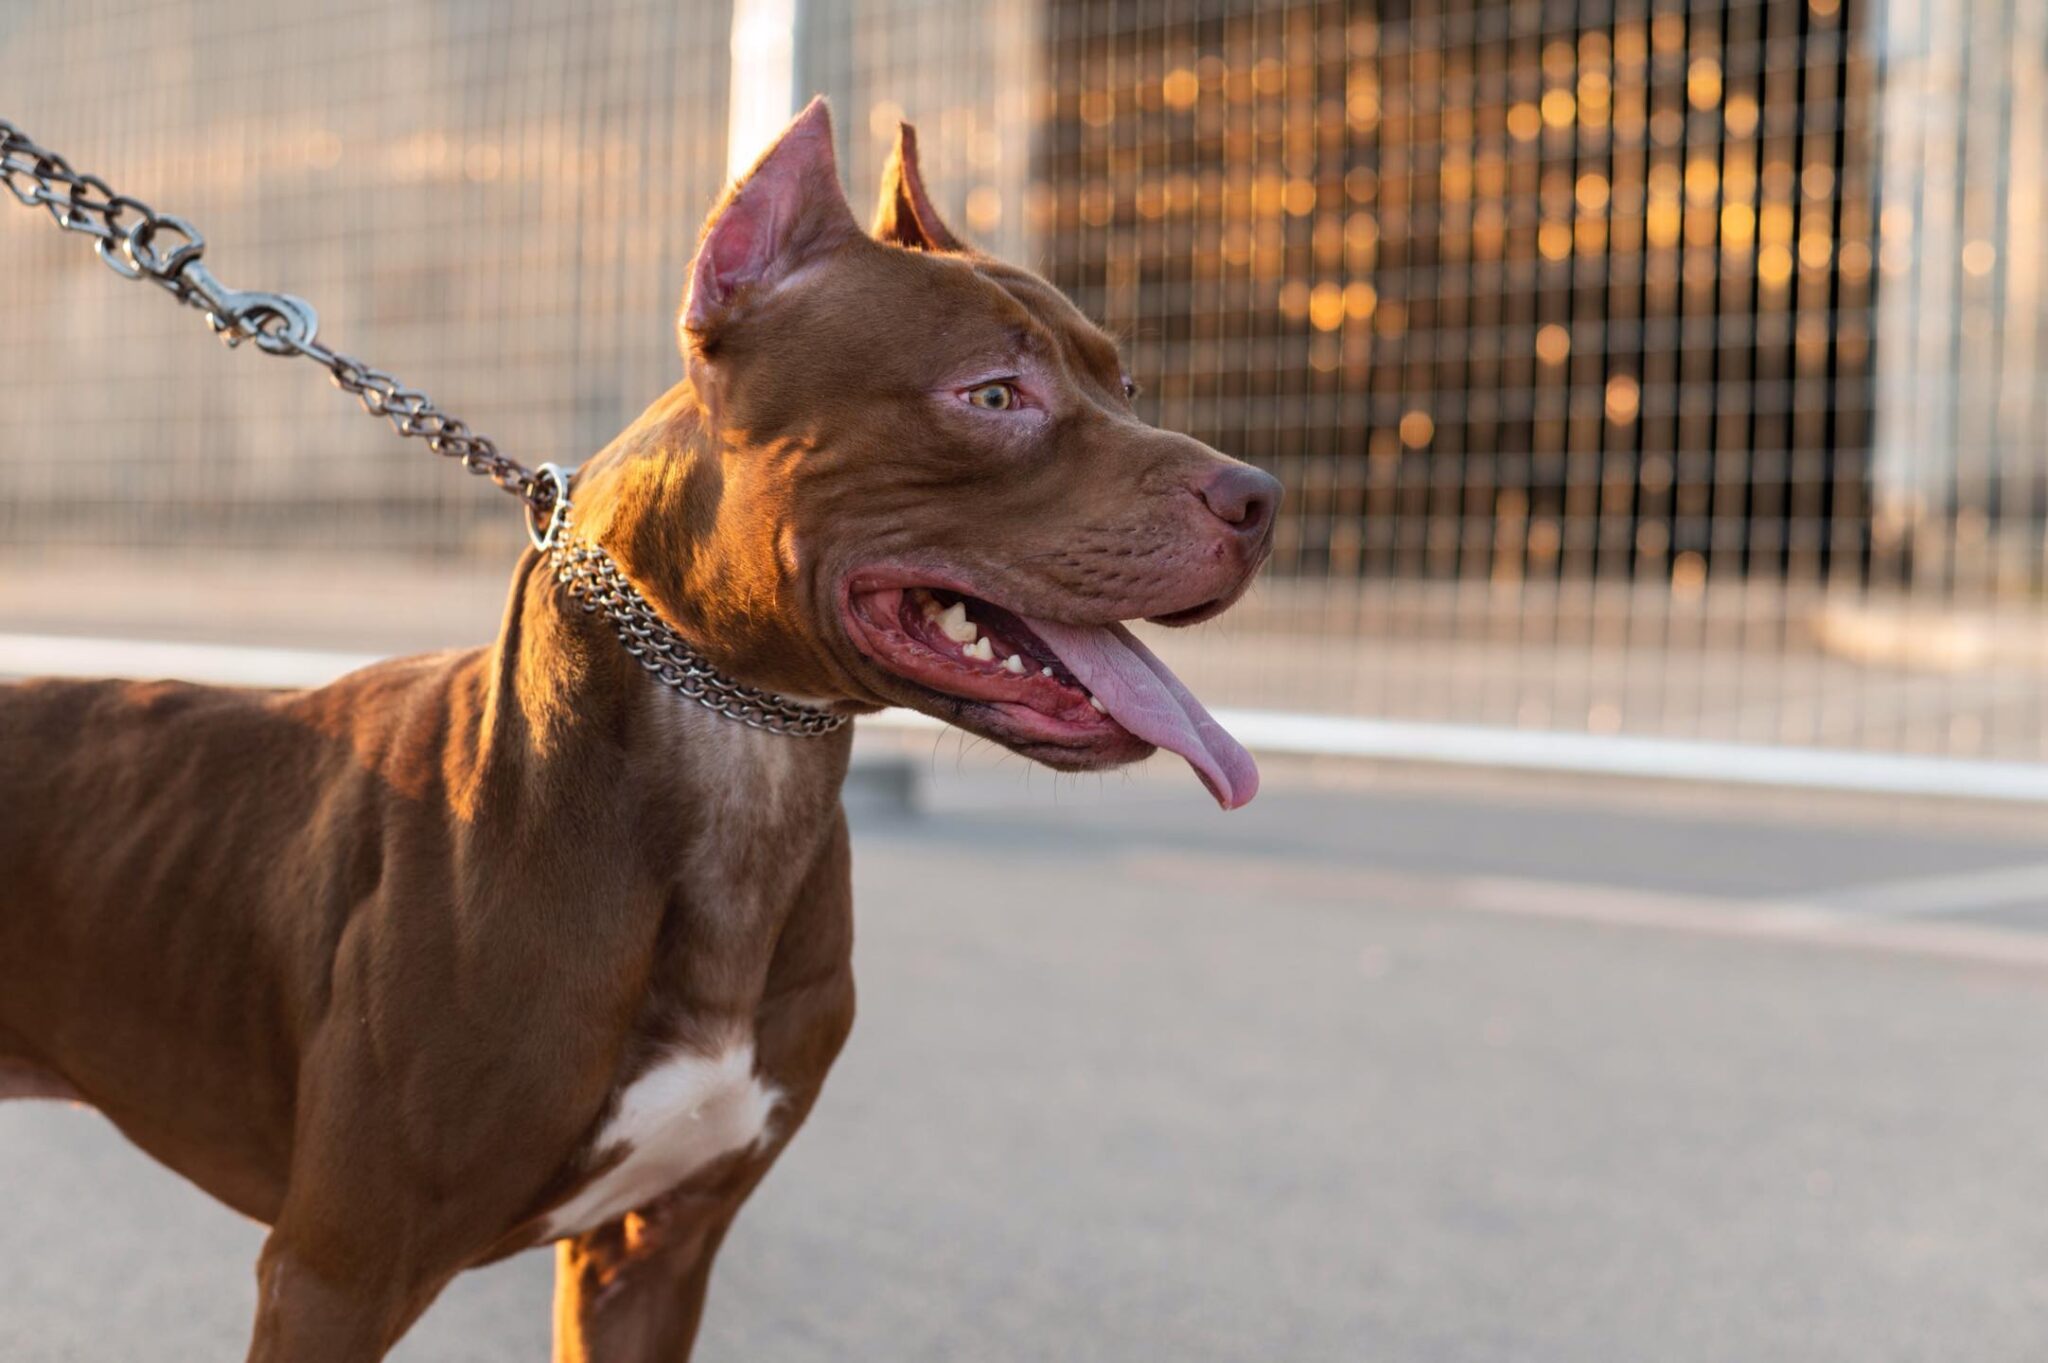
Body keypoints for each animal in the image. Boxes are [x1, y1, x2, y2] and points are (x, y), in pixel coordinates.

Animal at [0, 100, 1277, 1350]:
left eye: (1125, 385)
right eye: (992, 395)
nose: (1261, 496)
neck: (746, 755)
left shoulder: (654, 1252)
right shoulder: (335, 1272)